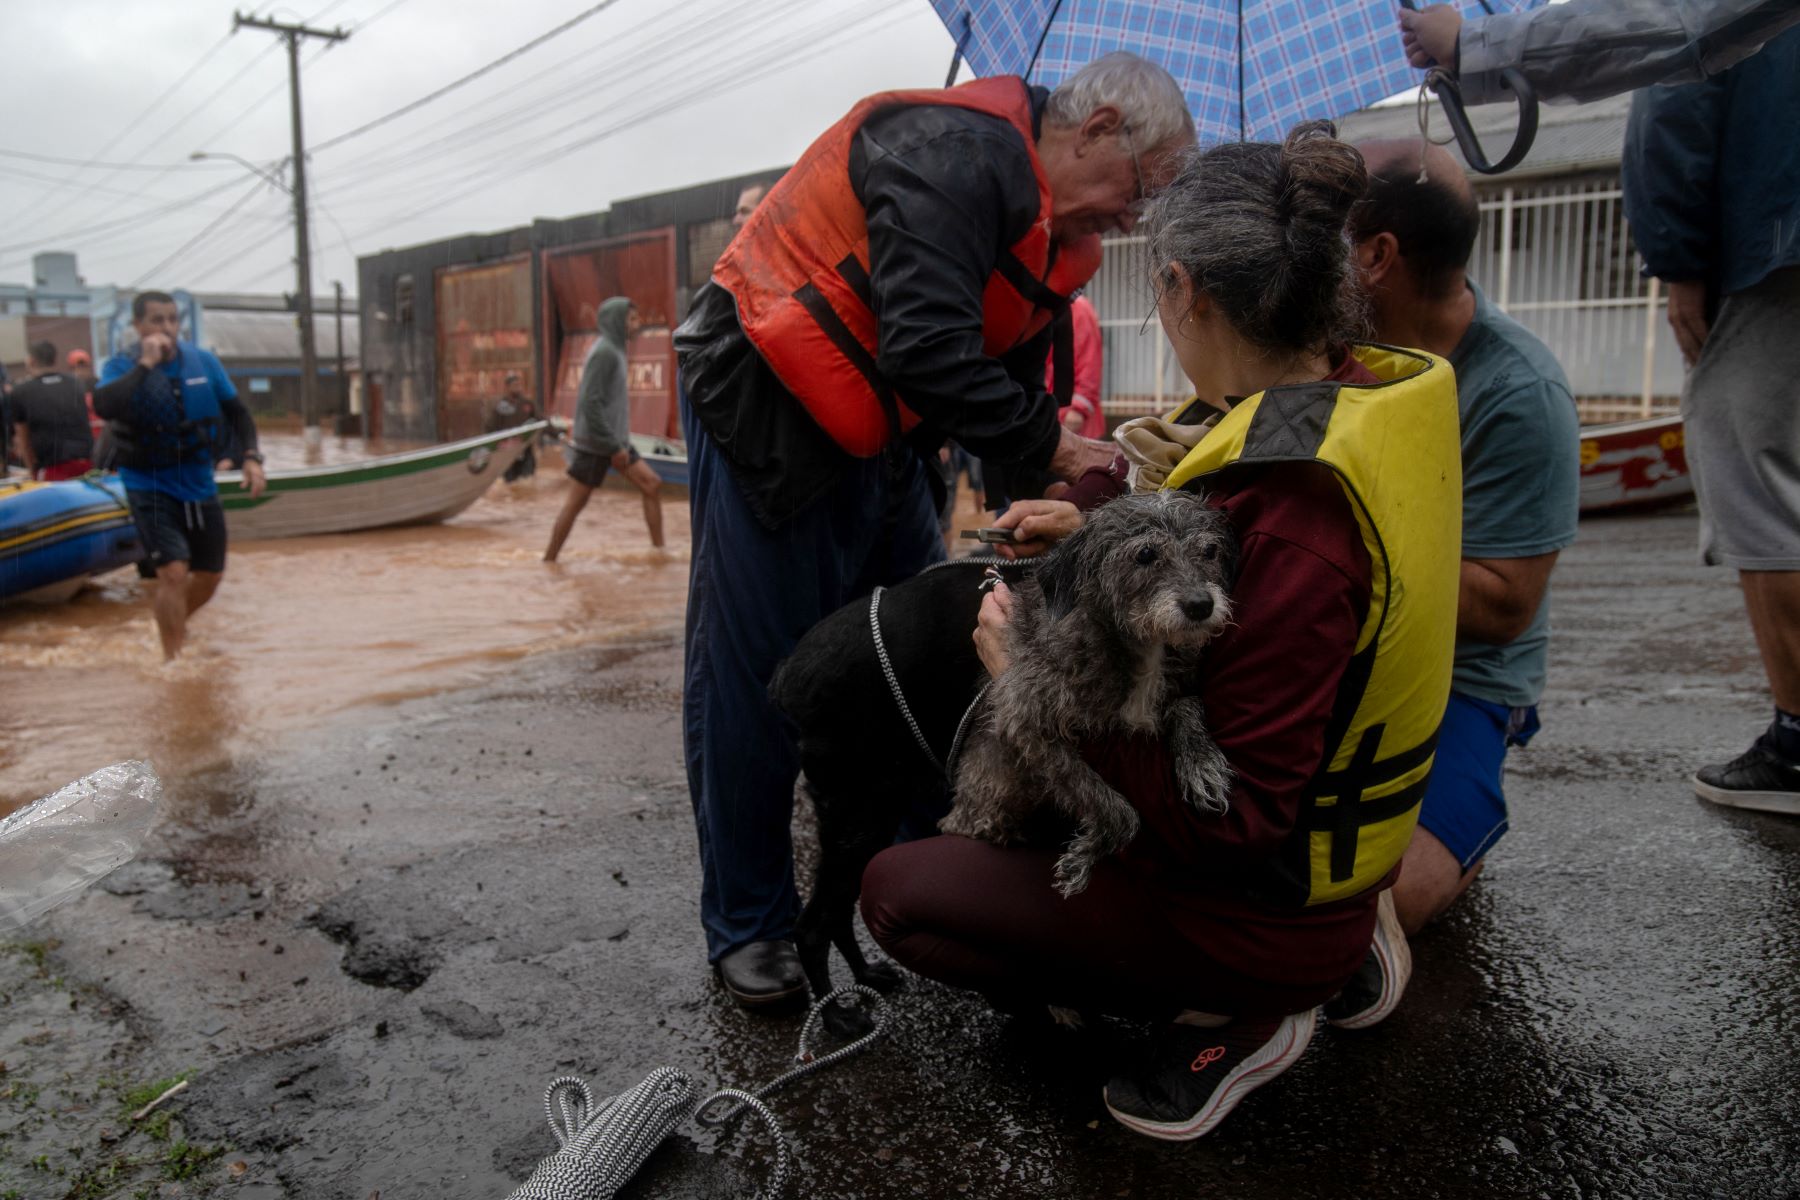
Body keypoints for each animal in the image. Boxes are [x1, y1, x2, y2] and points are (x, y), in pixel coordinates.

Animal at [943, 485, 1238, 892]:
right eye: (1145, 554)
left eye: (1209, 551)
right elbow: (1111, 804)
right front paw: (1087, 852)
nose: (1201, 605)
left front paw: (1201, 761)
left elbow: (1187, 704)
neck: (1143, 644)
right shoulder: (1026, 720)